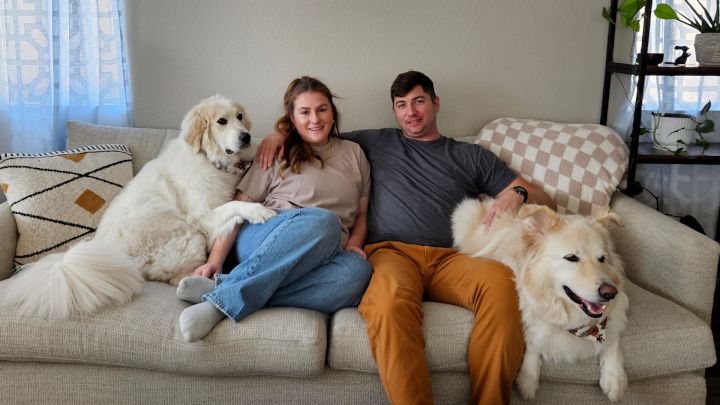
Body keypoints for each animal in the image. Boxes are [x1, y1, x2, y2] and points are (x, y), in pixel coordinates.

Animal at [4, 95, 276, 319]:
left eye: (239, 117)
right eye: (221, 121)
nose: (246, 137)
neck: (207, 158)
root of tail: (114, 259)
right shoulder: (203, 215)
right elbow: (235, 205)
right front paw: (259, 211)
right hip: (189, 237)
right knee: (176, 276)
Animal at [452, 198, 628, 402]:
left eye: (602, 258)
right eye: (571, 257)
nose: (610, 293)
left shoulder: (613, 321)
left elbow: (613, 342)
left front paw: (614, 379)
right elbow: (533, 339)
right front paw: (528, 379)